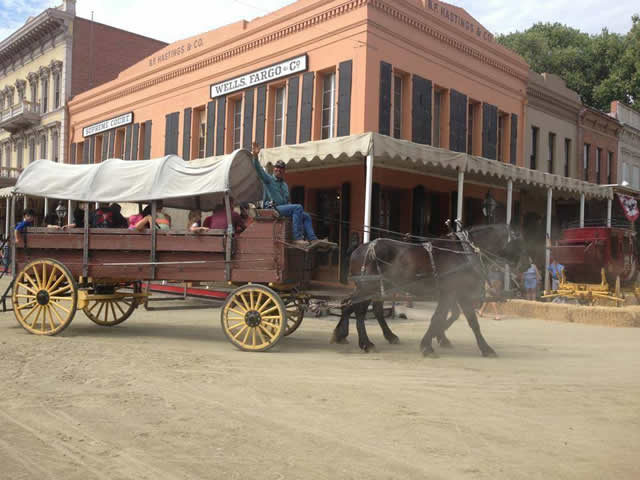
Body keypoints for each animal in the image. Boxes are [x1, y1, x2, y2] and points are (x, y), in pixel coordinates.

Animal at [332, 224, 524, 356]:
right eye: (518, 242)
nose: (527, 264)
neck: (466, 252)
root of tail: (359, 249)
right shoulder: (452, 292)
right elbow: (442, 318)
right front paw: (428, 344)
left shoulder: (457, 293)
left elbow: (464, 319)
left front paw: (438, 339)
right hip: (367, 287)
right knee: (359, 310)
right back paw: (365, 343)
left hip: (375, 287)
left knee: (354, 305)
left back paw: (348, 334)